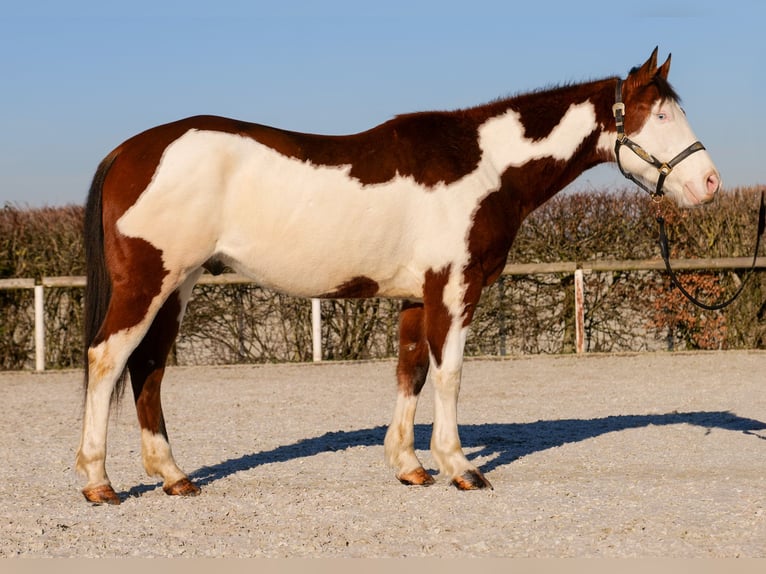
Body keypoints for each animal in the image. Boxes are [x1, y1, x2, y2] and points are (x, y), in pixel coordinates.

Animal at [76, 48, 720, 504]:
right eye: (661, 113)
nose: (710, 184)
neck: (486, 165)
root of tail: (130, 152)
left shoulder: (417, 295)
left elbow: (410, 371)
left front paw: (410, 467)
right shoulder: (455, 288)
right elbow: (450, 374)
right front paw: (460, 467)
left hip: (178, 287)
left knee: (148, 368)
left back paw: (173, 476)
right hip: (148, 283)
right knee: (108, 360)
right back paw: (98, 482)